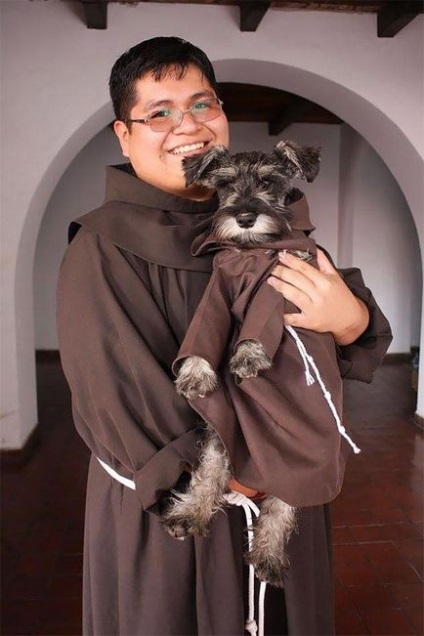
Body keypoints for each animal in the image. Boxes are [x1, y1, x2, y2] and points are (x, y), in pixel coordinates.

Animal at [161, 139, 322, 588]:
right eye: (226, 184)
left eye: (269, 181)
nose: (246, 217)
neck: (250, 254)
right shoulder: (215, 292)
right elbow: (204, 331)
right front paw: (195, 373)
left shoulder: (280, 285)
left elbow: (258, 323)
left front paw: (248, 356)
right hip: (221, 432)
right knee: (209, 471)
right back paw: (189, 514)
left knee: (283, 504)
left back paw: (267, 555)